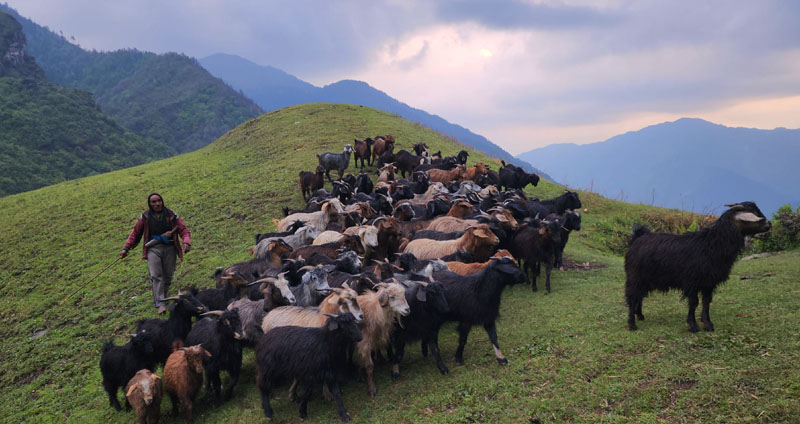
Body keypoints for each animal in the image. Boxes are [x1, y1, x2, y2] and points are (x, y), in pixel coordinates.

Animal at [628, 200, 772, 332]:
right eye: (754, 214)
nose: (769, 224)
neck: (711, 244)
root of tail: (638, 237)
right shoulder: (692, 281)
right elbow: (694, 302)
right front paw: (693, 325)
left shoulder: (708, 282)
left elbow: (706, 302)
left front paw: (707, 323)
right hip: (634, 276)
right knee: (632, 298)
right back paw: (632, 324)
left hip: (646, 280)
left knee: (640, 296)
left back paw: (639, 315)